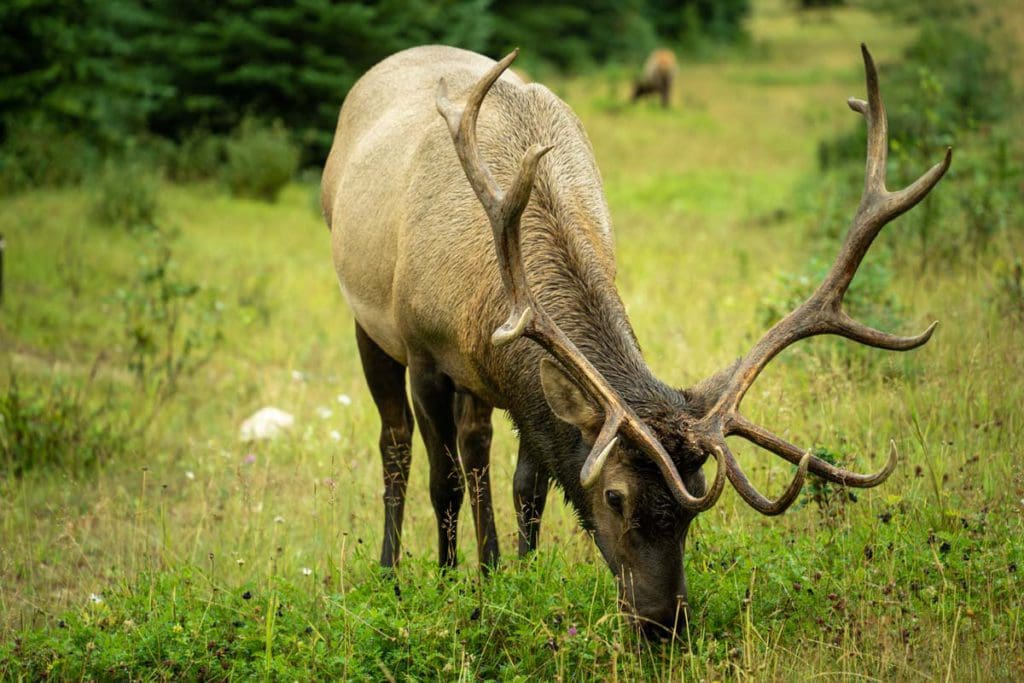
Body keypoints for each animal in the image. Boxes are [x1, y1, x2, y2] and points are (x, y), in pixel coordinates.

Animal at [321, 45, 950, 638]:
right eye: (615, 497)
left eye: (694, 503)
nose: (662, 622)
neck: (486, 300)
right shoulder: (424, 353)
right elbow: (443, 482)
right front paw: (449, 587)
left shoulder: (528, 386)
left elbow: (529, 487)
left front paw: (516, 580)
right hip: (366, 322)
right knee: (397, 445)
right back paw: (393, 572)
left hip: (472, 383)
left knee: (476, 445)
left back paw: (489, 566)